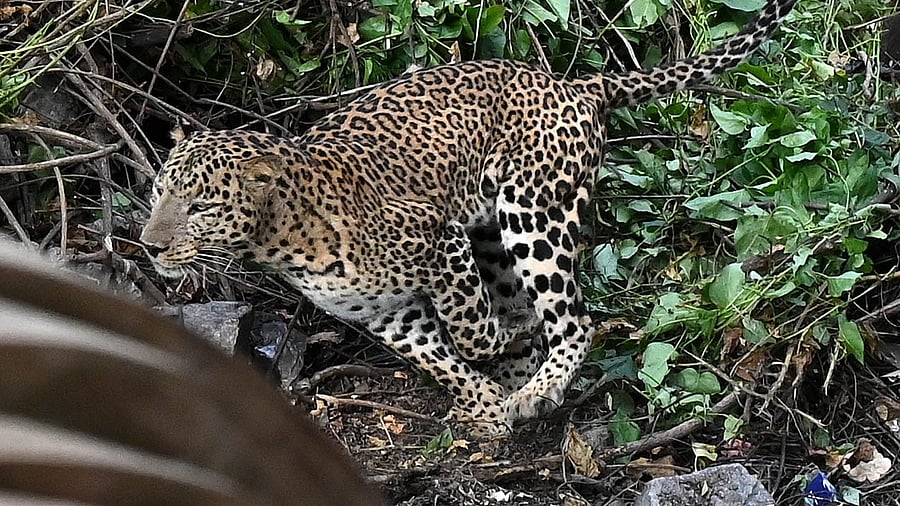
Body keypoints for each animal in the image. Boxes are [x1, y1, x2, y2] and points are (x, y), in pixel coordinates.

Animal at [141, 0, 796, 435]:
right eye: (158, 192)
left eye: (201, 206)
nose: (147, 246)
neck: (279, 243)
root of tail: (577, 83)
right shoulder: (388, 313)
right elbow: (445, 358)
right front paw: (484, 401)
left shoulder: (439, 240)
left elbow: (469, 330)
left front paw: (507, 352)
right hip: (494, 235)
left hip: (530, 213)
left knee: (575, 318)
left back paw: (539, 381)